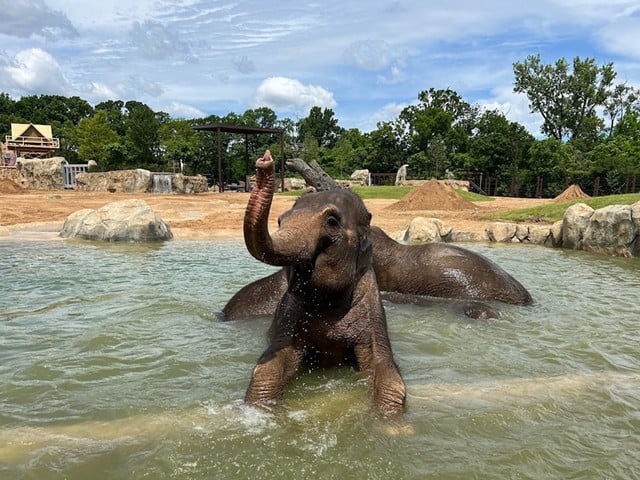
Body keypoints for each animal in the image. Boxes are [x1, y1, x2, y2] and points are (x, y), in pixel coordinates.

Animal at [240, 151, 404, 416]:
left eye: (332, 222)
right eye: (280, 220)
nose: (265, 160)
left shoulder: (373, 309)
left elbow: (383, 367)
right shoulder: (289, 312)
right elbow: (273, 363)